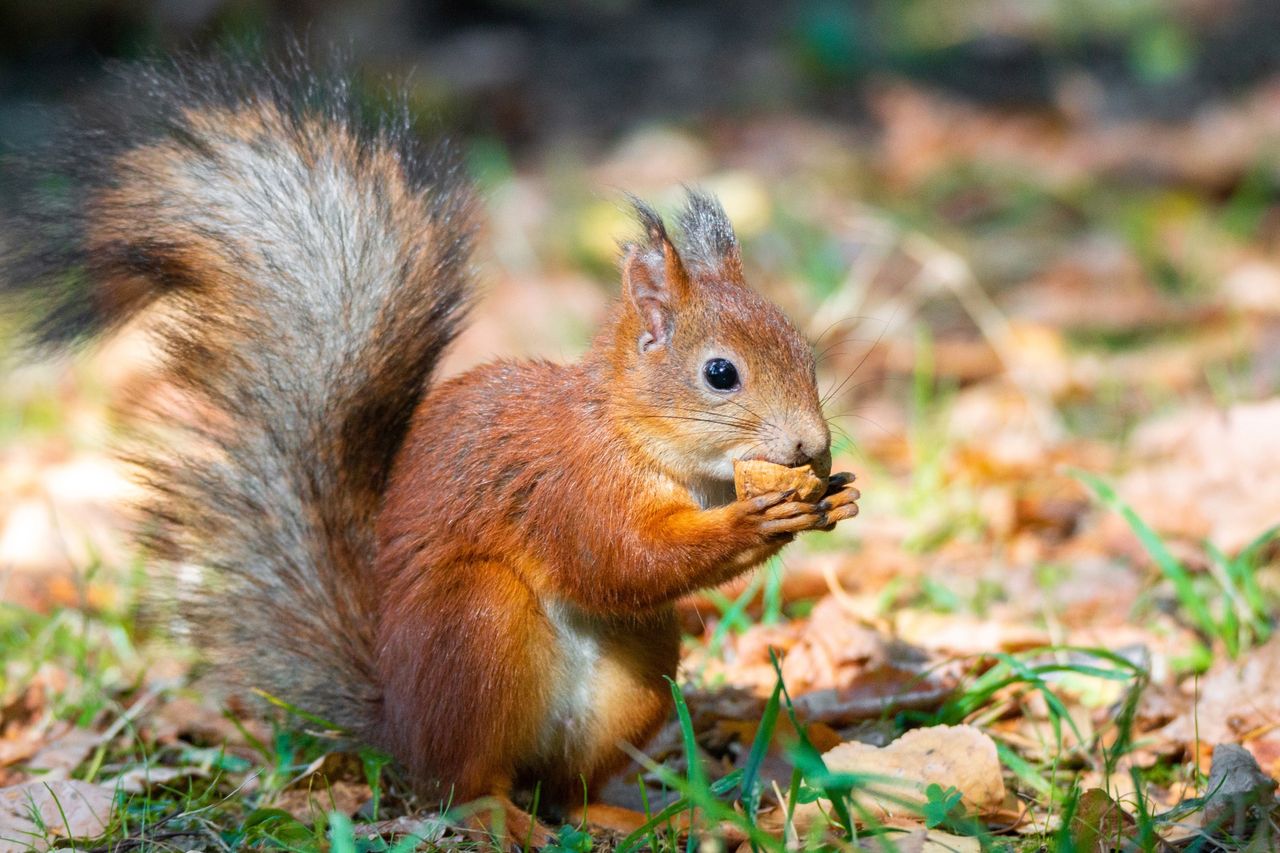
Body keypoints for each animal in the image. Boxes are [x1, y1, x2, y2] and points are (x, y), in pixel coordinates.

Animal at [5, 54, 860, 835]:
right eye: (720, 374)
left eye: (805, 351)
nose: (811, 444)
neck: (636, 437)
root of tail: (398, 729)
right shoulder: (566, 482)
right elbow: (620, 559)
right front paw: (756, 519)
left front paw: (833, 496)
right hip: (475, 630)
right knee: (465, 782)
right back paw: (499, 815)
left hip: (639, 666)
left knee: (567, 790)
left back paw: (630, 815)